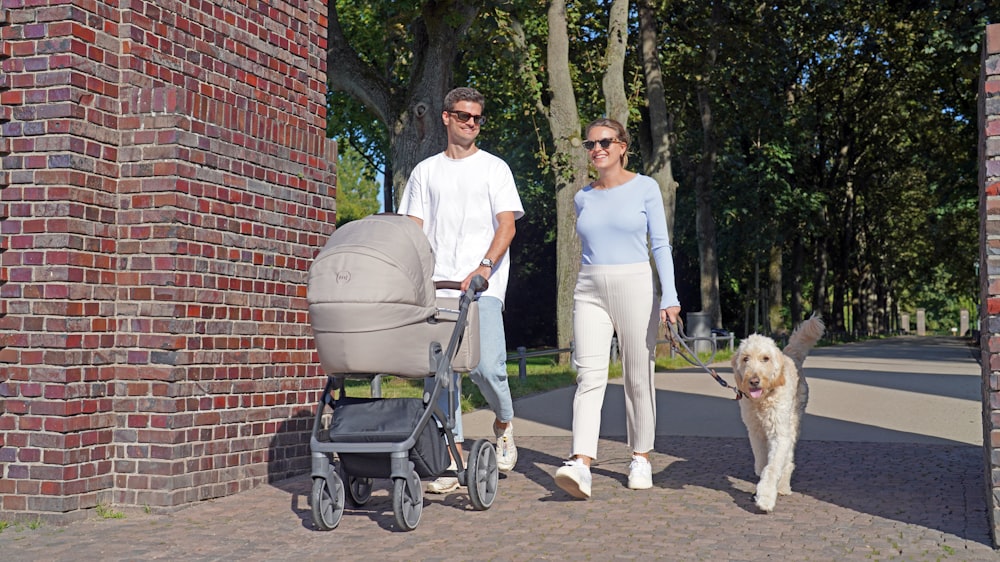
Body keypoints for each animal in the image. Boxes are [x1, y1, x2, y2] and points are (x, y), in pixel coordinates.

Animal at [732, 316, 824, 512]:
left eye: (765, 358)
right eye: (745, 358)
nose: (753, 381)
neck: (763, 400)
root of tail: (790, 355)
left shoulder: (780, 434)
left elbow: (772, 467)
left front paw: (766, 497)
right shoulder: (755, 432)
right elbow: (762, 463)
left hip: (793, 422)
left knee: (787, 460)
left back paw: (782, 486)